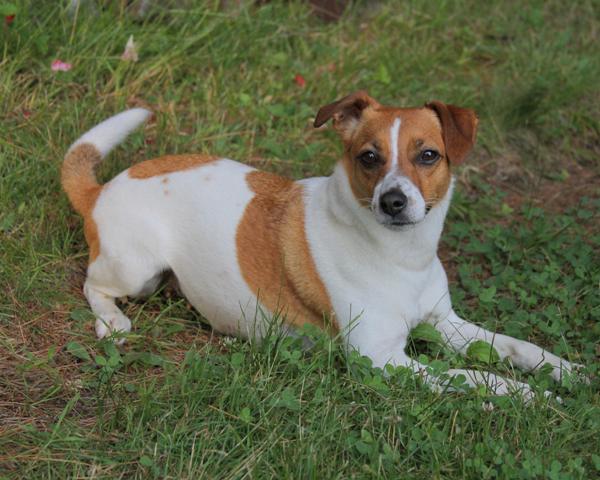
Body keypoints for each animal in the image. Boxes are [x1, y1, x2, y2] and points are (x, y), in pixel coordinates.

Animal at [62, 92, 580, 400]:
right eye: (368, 157)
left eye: (428, 155)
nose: (393, 201)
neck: (401, 256)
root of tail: (99, 191)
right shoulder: (382, 361)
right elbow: (471, 378)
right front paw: (529, 398)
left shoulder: (445, 323)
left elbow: (515, 347)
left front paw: (566, 371)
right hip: (136, 269)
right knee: (91, 284)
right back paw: (111, 320)